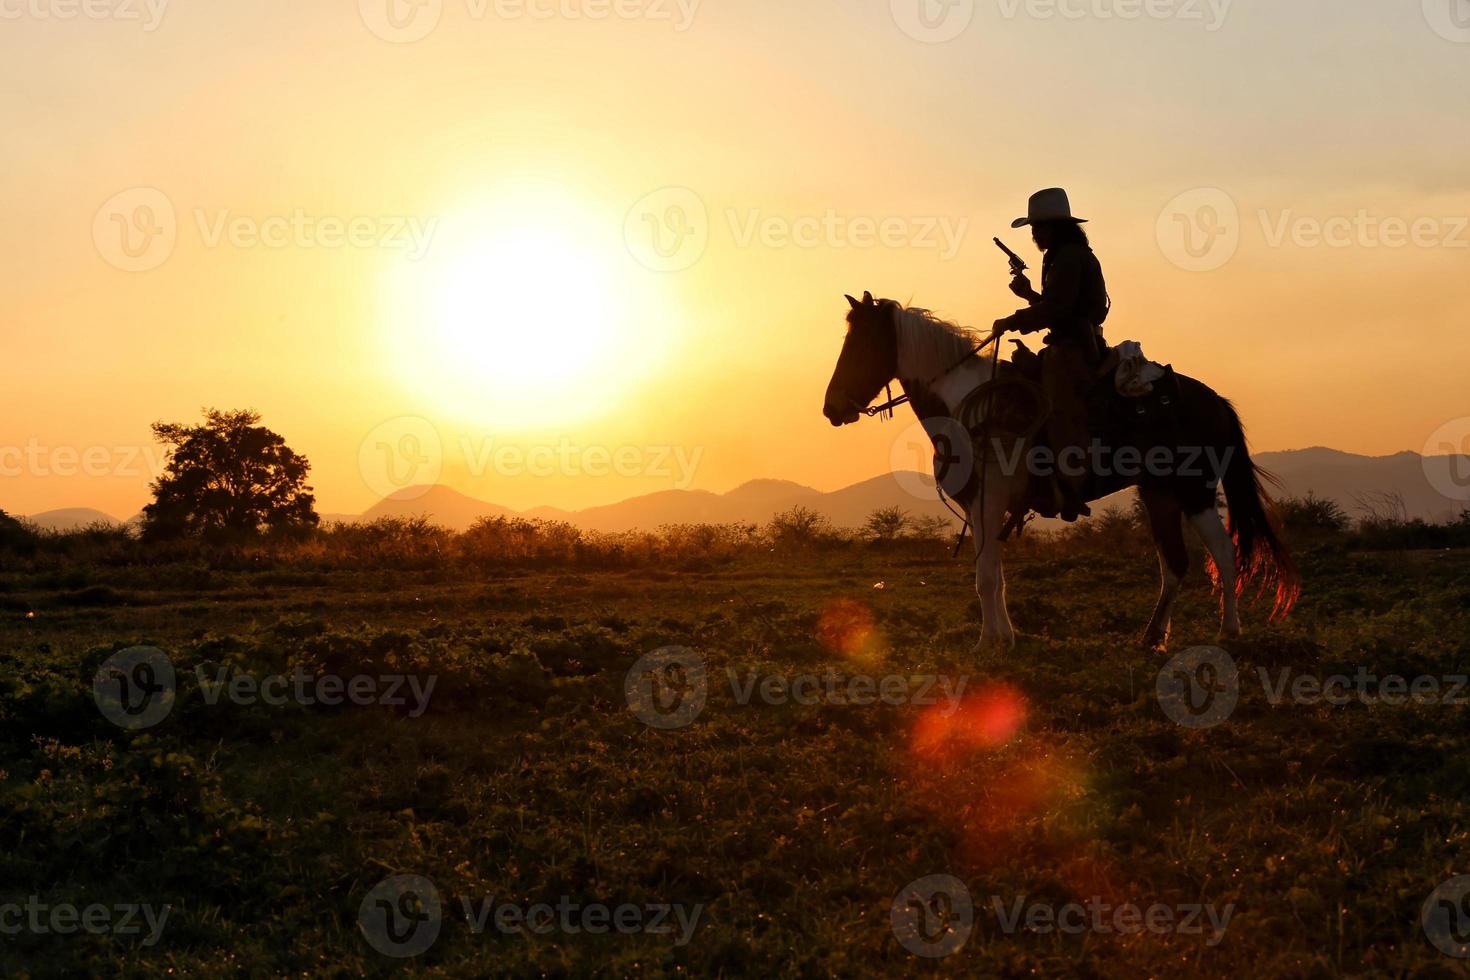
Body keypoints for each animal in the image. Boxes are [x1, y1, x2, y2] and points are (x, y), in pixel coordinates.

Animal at [829, 290, 1299, 652]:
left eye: (860, 345)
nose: (830, 408)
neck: (967, 406)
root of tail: (1214, 399)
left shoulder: (987, 502)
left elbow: (986, 578)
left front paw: (987, 643)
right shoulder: (984, 509)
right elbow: (996, 574)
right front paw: (1004, 638)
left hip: (1195, 490)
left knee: (1222, 553)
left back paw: (1228, 630)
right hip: (1159, 493)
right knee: (1175, 563)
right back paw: (1151, 637)